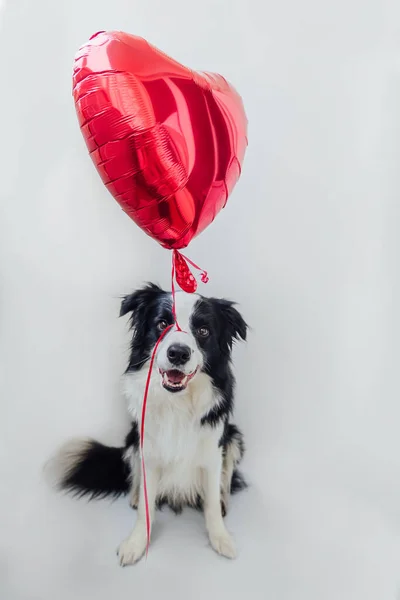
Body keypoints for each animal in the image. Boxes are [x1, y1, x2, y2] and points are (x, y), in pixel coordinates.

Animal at [52, 284, 247, 564]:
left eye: (203, 331)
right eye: (162, 323)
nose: (178, 353)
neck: (177, 402)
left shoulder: (213, 449)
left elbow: (210, 500)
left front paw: (221, 538)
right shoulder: (149, 450)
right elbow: (146, 506)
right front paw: (136, 542)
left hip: (234, 438)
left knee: (228, 474)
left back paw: (224, 499)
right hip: (132, 439)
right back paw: (134, 495)